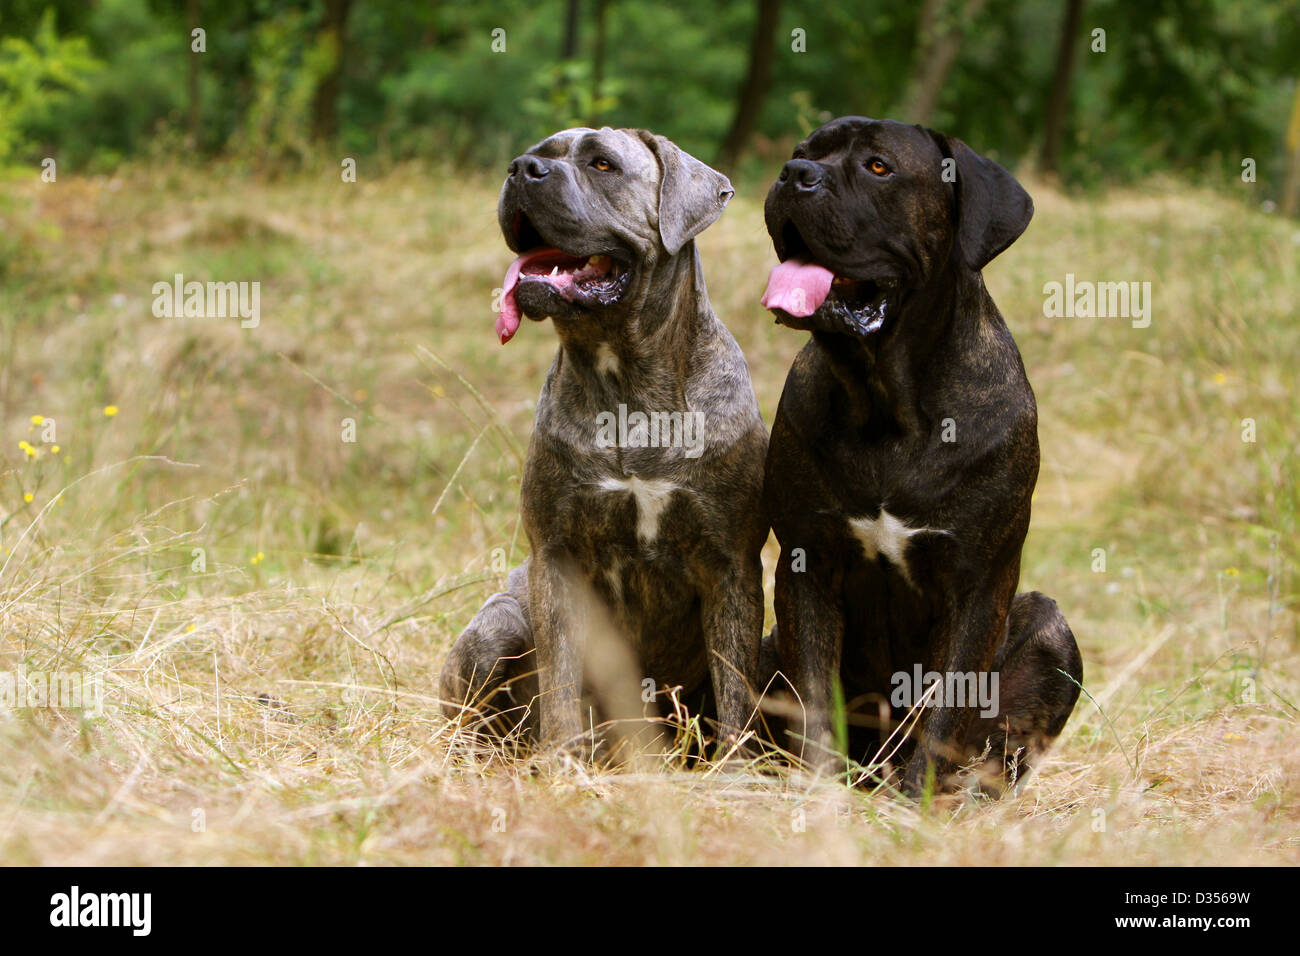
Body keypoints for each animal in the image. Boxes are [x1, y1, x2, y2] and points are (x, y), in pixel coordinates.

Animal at [444, 125, 769, 754]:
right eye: (538, 153)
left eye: (603, 165)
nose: (522, 169)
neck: (627, 386)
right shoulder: (557, 559)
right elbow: (561, 681)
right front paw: (561, 762)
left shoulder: (730, 566)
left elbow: (735, 688)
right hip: (496, 627)